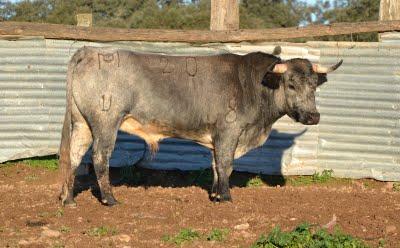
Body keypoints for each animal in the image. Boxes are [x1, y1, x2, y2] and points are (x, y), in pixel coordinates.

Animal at [57, 46, 342, 205]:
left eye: (314, 85)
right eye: (291, 84)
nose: (313, 116)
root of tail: (92, 52)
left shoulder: (217, 137)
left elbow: (216, 165)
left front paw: (215, 195)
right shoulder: (228, 132)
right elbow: (226, 164)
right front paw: (225, 197)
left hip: (82, 123)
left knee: (73, 156)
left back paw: (68, 199)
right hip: (106, 123)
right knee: (99, 157)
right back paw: (110, 199)